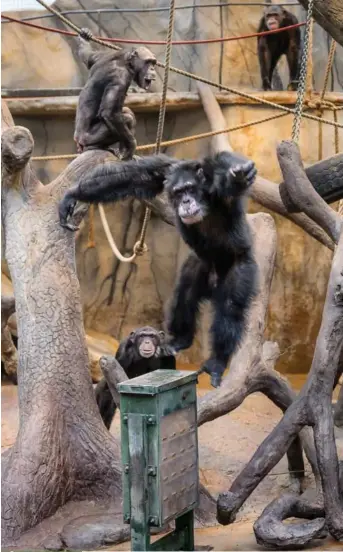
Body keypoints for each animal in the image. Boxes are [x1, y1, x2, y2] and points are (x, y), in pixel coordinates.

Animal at [58, 149, 258, 386]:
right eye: (178, 192)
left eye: (190, 189)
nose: (186, 201)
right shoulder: (164, 171)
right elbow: (131, 177)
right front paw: (72, 195)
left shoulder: (216, 183)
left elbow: (226, 166)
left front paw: (240, 172)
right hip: (199, 265)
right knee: (185, 294)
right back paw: (179, 340)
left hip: (241, 267)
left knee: (230, 307)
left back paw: (217, 363)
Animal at [75, 28, 157, 158]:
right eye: (148, 62)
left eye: (154, 62)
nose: (153, 68)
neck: (126, 61)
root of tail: (78, 140)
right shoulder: (120, 78)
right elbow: (110, 114)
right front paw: (132, 144)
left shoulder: (101, 56)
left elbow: (89, 57)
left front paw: (85, 35)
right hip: (88, 138)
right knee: (127, 118)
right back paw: (96, 147)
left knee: (127, 113)